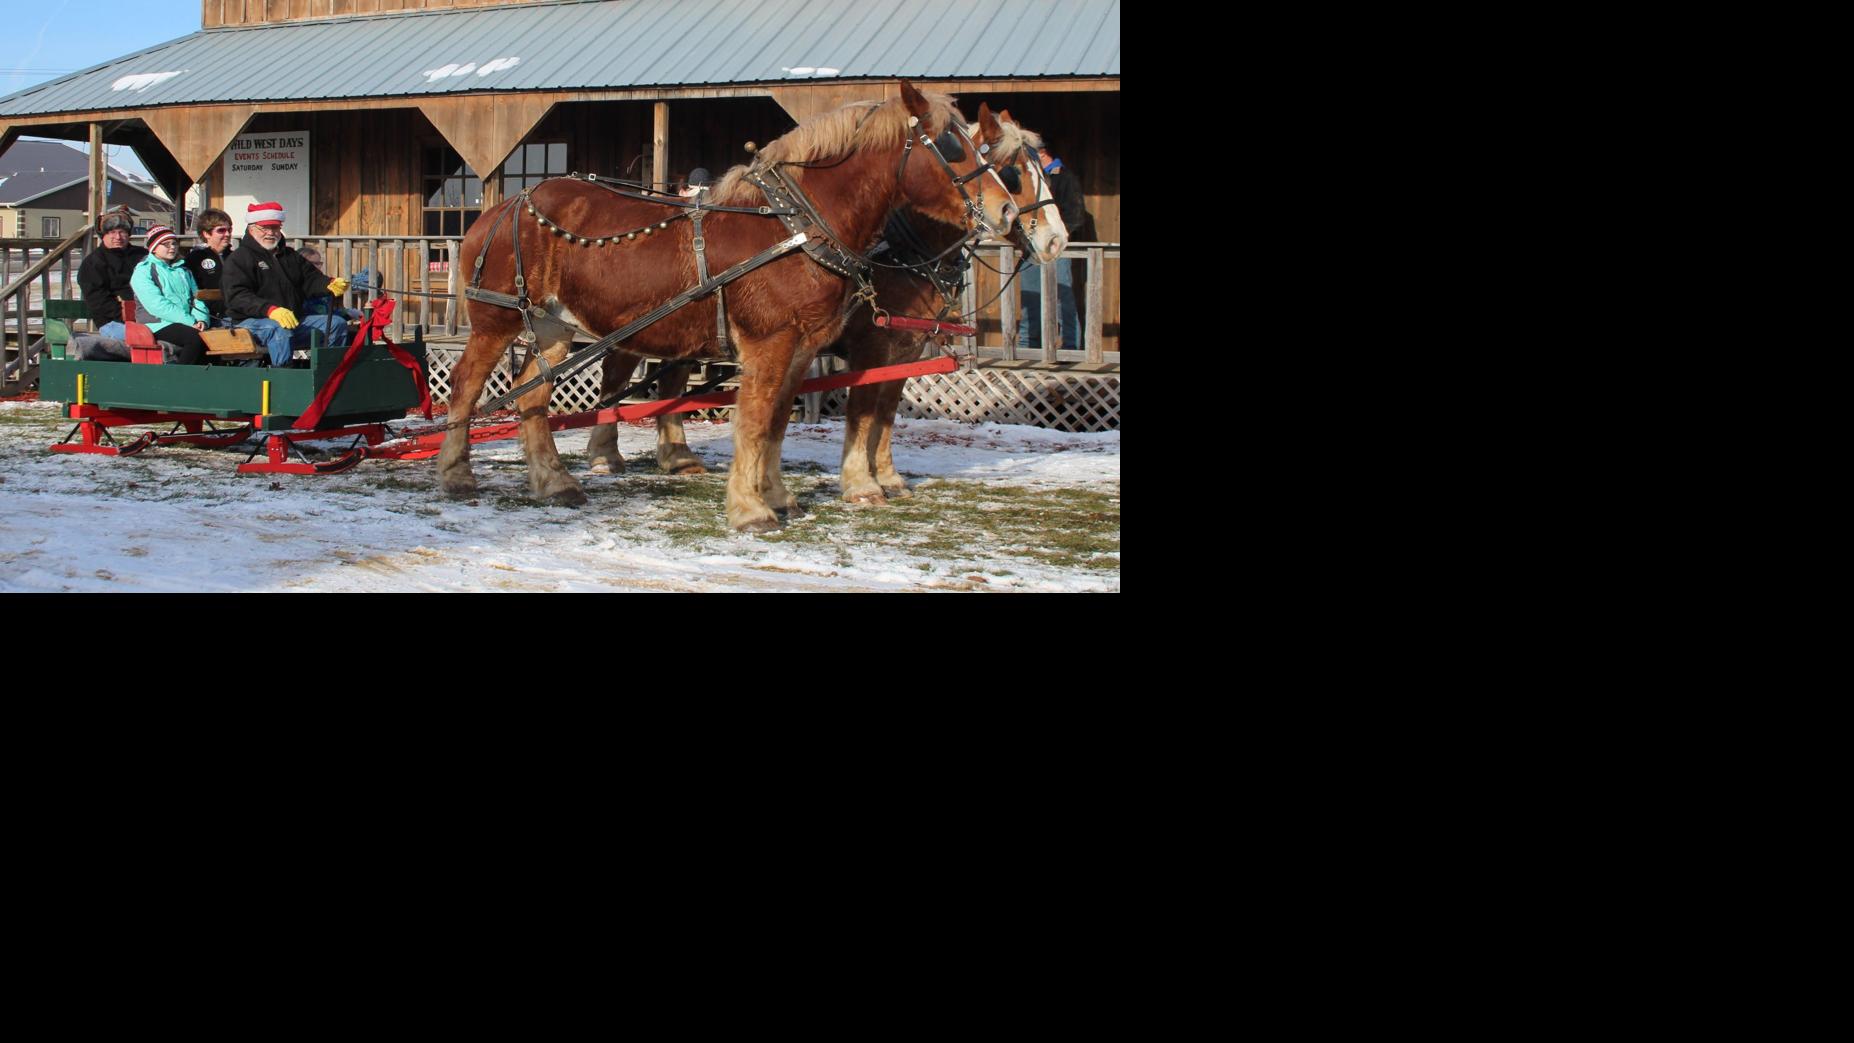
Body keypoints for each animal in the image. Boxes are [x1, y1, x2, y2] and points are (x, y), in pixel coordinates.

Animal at [440, 81, 1019, 532]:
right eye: (950, 144)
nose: (1008, 212)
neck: (795, 226)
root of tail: (499, 209)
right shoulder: (771, 341)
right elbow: (756, 420)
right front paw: (750, 509)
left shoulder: (803, 347)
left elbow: (778, 421)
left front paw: (777, 496)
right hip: (498, 320)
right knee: (468, 384)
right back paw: (456, 472)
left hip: (552, 328)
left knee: (531, 396)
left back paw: (554, 482)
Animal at [582, 109, 1069, 505]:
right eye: (1013, 173)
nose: (1056, 240)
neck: (900, 251)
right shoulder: (873, 346)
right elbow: (863, 413)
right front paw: (862, 483)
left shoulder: (906, 349)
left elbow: (886, 413)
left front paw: (888, 478)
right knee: (617, 374)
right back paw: (605, 453)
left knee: (669, 379)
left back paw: (675, 455)